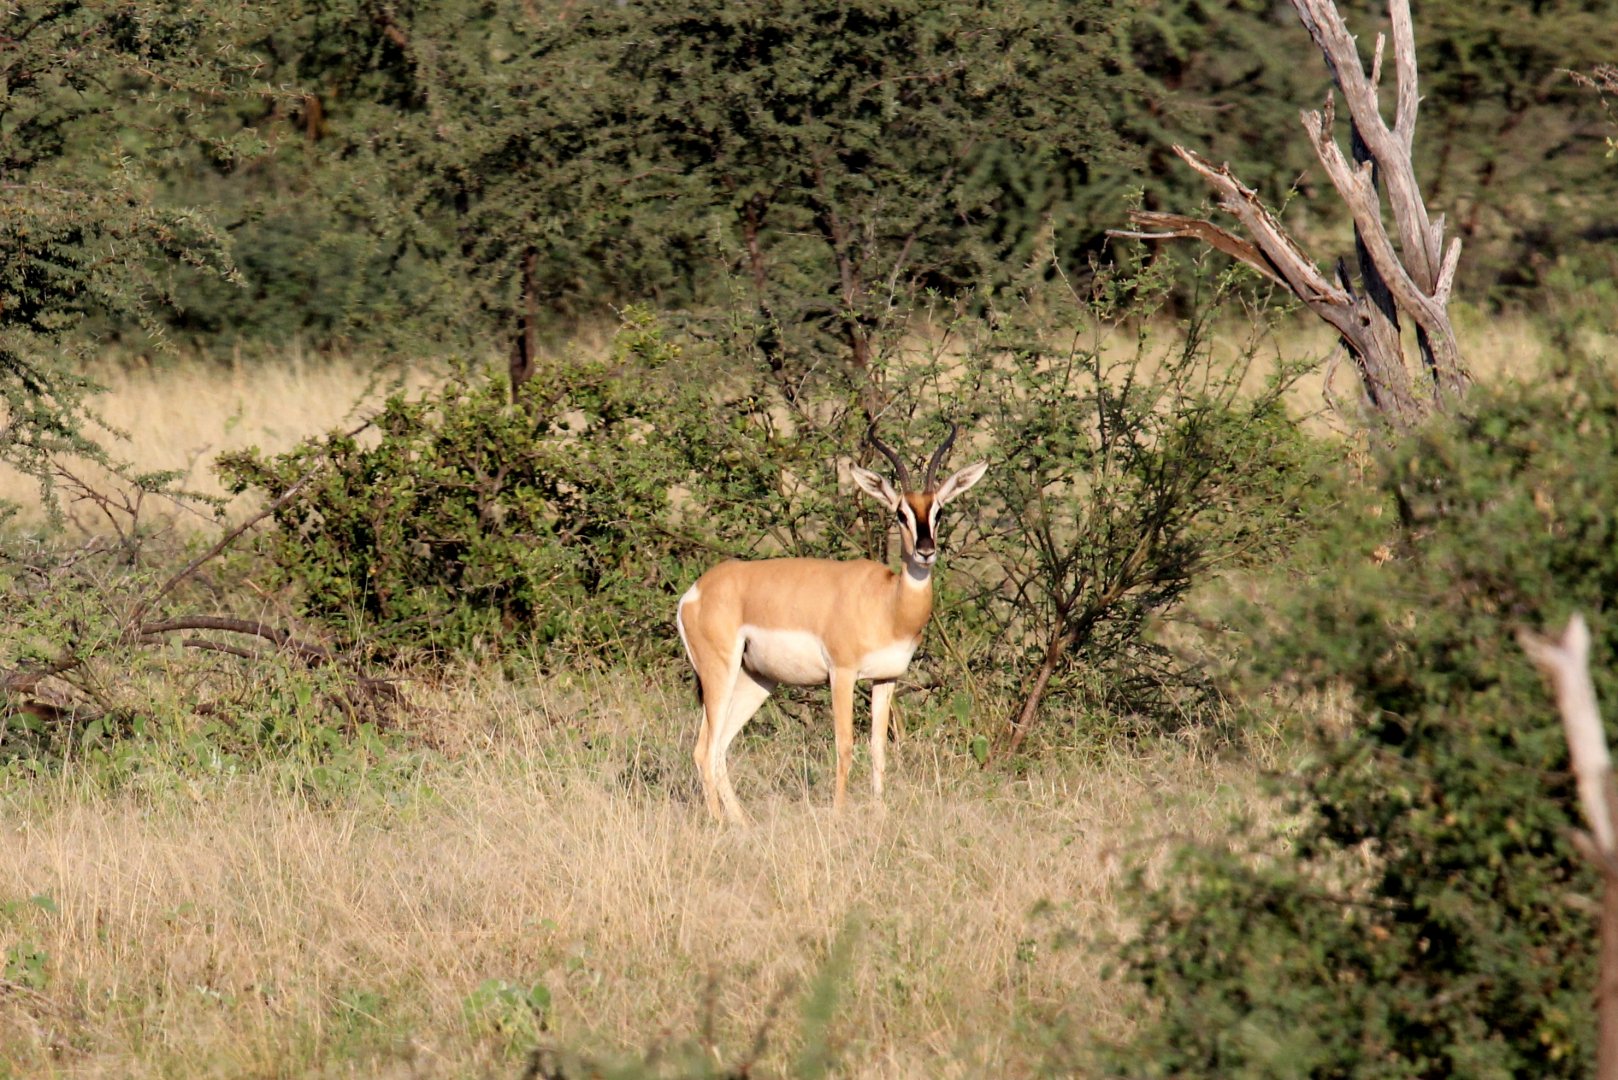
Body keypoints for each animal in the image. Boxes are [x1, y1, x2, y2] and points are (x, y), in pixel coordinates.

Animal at [676, 425, 989, 823]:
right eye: (900, 513)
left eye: (939, 510)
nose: (925, 551)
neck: (888, 605)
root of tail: (695, 592)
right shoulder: (842, 674)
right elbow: (845, 745)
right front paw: (839, 816)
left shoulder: (885, 679)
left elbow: (878, 748)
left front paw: (880, 815)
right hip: (719, 674)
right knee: (704, 749)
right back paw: (719, 823)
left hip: (756, 680)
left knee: (719, 748)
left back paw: (742, 824)